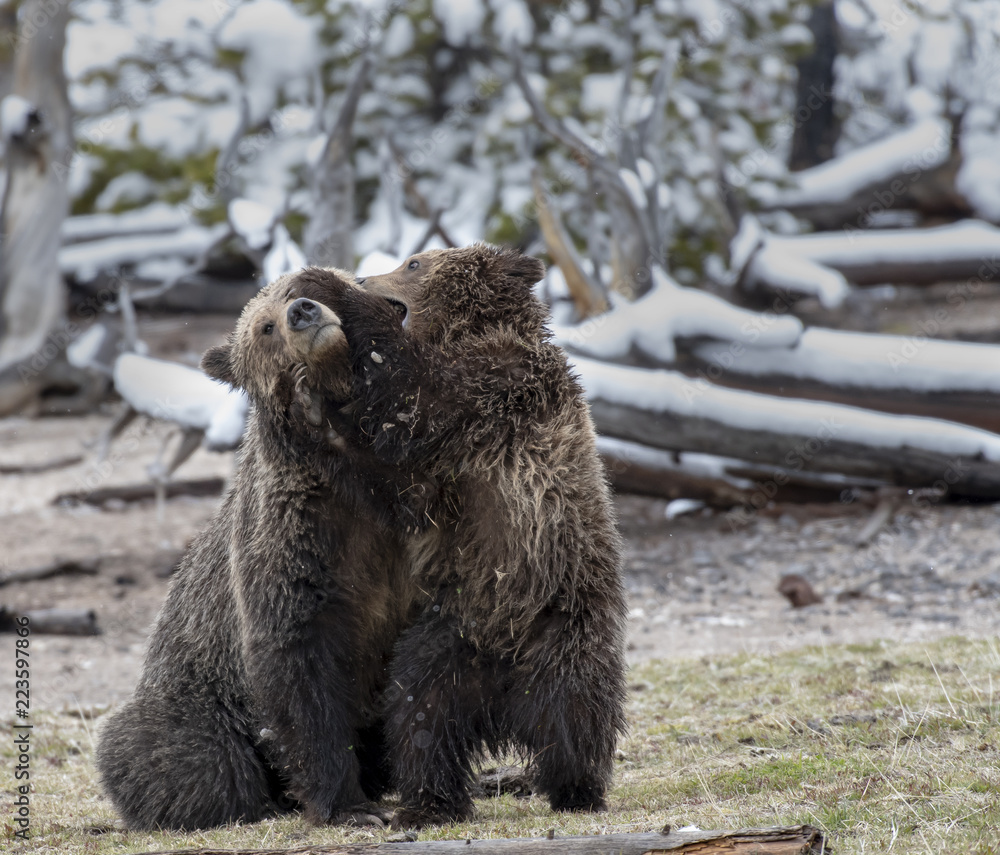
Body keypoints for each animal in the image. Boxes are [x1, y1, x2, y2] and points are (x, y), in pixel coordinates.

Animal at [95, 269, 432, 831]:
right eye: (265, 326)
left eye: (307, 289)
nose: (302, 312)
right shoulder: (293, 537)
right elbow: (297, 655)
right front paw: (350, 806)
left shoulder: (412, 527)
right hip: (197, 697)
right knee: (186, 755)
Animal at [302, 244, 629, 829]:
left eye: (413, 263)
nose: (364, 276)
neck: (465, 330)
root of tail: (502, 698)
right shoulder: (443, 469)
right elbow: (396, 480)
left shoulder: (494, 387)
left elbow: (410, 391)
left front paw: (329, 287)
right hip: (449, 640)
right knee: (419, 714)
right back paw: (429, 804)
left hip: (563, 626)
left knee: (575, 715)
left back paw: (576, 788)